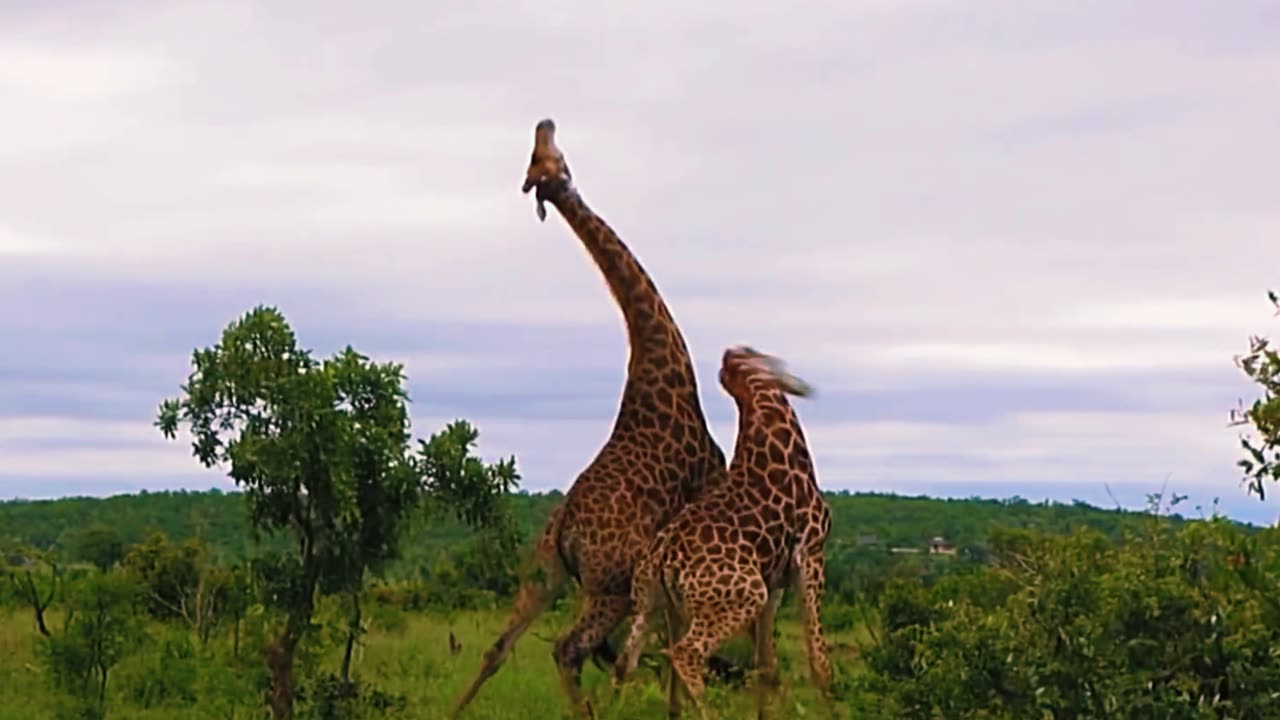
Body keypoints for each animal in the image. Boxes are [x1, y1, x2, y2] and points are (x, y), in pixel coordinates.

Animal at [450, 120, 732, 712]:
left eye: (542, 157)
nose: (546, 124)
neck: (659, 361)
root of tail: (564, 533)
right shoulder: (704, 485)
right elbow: (668, 642)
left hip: (544, 575)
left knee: (498, 647)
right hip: (610, 587)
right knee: (569, 650)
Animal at [614, 345, 834, 712]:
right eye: (768, 359)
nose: (803, 386)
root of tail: (662, 558)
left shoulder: (775, 579)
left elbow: (766, 665)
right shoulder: (811, 554)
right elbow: (818, 661)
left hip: (652, 602)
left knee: (625, 662)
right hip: (741, 597)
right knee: (684, 654)